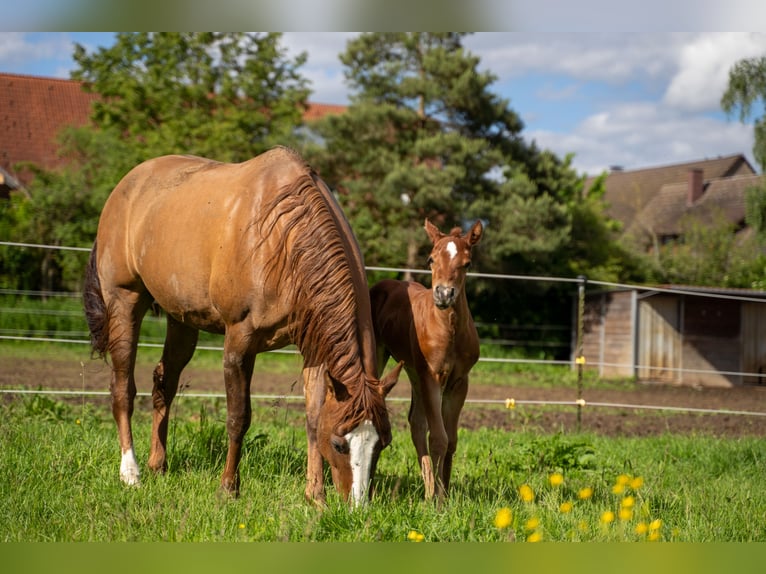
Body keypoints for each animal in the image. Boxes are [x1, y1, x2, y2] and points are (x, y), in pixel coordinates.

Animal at [83, 146, 402, 507]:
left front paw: (315, 496)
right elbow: (239, 417)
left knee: (164, 382)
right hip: (124, 301)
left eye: (382, 443)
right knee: (123, 387)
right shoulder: (239, 341)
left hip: (181, 319)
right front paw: (228, 488)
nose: (357, 507)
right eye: (339, 444)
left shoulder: (315, 349)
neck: (282, 238)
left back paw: (158, 464)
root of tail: (126, 184)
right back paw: (131, 473)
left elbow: (312, 417)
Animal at [370, 219, 482, 501]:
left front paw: (445, 493)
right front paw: (439, 502)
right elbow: (439, 438)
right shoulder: (431, 375)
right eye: (431, 259)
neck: (449, 330)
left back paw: (429, 487)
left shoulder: (459, 382)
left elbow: (451, 439)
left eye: (467, 263)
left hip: (413, 372)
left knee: (416, 424)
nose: (443, 294)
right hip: (384, 357)